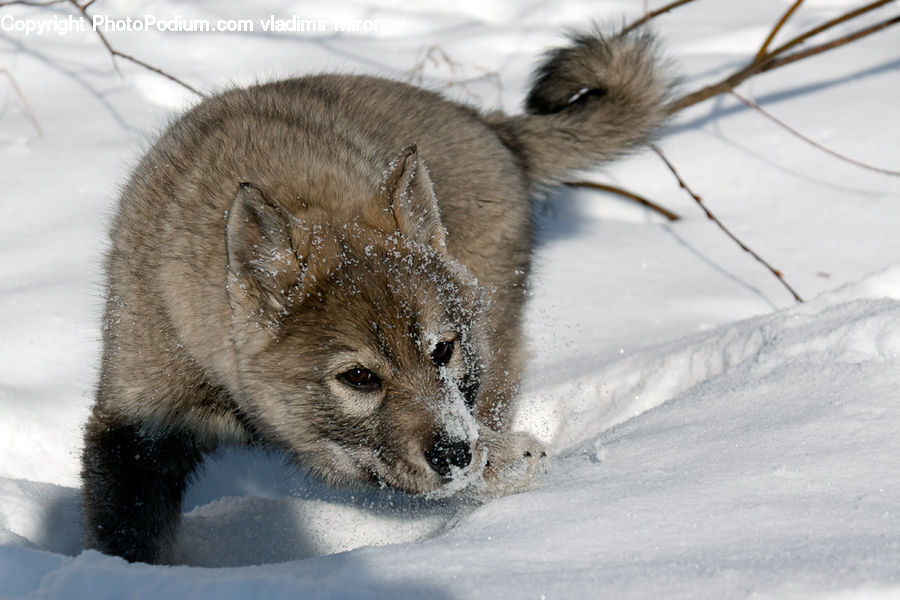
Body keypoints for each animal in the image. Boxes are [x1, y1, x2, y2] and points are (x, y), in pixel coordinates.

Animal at [81, 27, 672, 564]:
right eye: (359, 377)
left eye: (442, 351)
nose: (456, 453)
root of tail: (493, 127)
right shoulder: (136, 426)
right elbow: (132, 533)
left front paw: (502, 462)